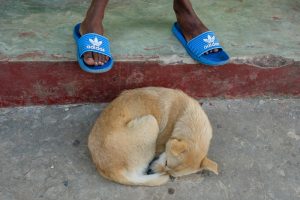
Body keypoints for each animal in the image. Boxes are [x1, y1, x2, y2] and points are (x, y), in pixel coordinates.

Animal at [88, 86, 217, 187]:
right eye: (166, 163)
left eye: (171, 174)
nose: (150, 171)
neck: (185, 116)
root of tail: (111, 170)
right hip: (151, 121)